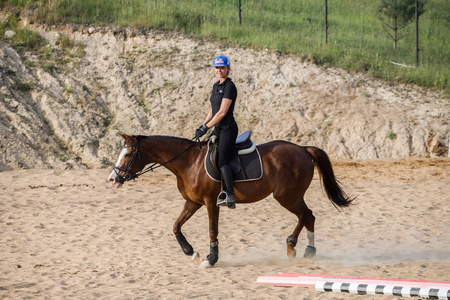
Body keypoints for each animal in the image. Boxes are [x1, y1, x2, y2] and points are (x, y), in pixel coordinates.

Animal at [107, 133, 354, 268]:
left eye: (127, 155)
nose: (112, 179)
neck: (189, 162)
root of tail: (302, 148)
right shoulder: (192, 203)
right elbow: (176, 226)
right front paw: (191, 252)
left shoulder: (210, 202)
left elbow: (212, 231)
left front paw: (210, 259)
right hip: (290, 196)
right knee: (309, 216)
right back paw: (309, 250)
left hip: (287, 196)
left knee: (306, 215)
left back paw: (292, 246)